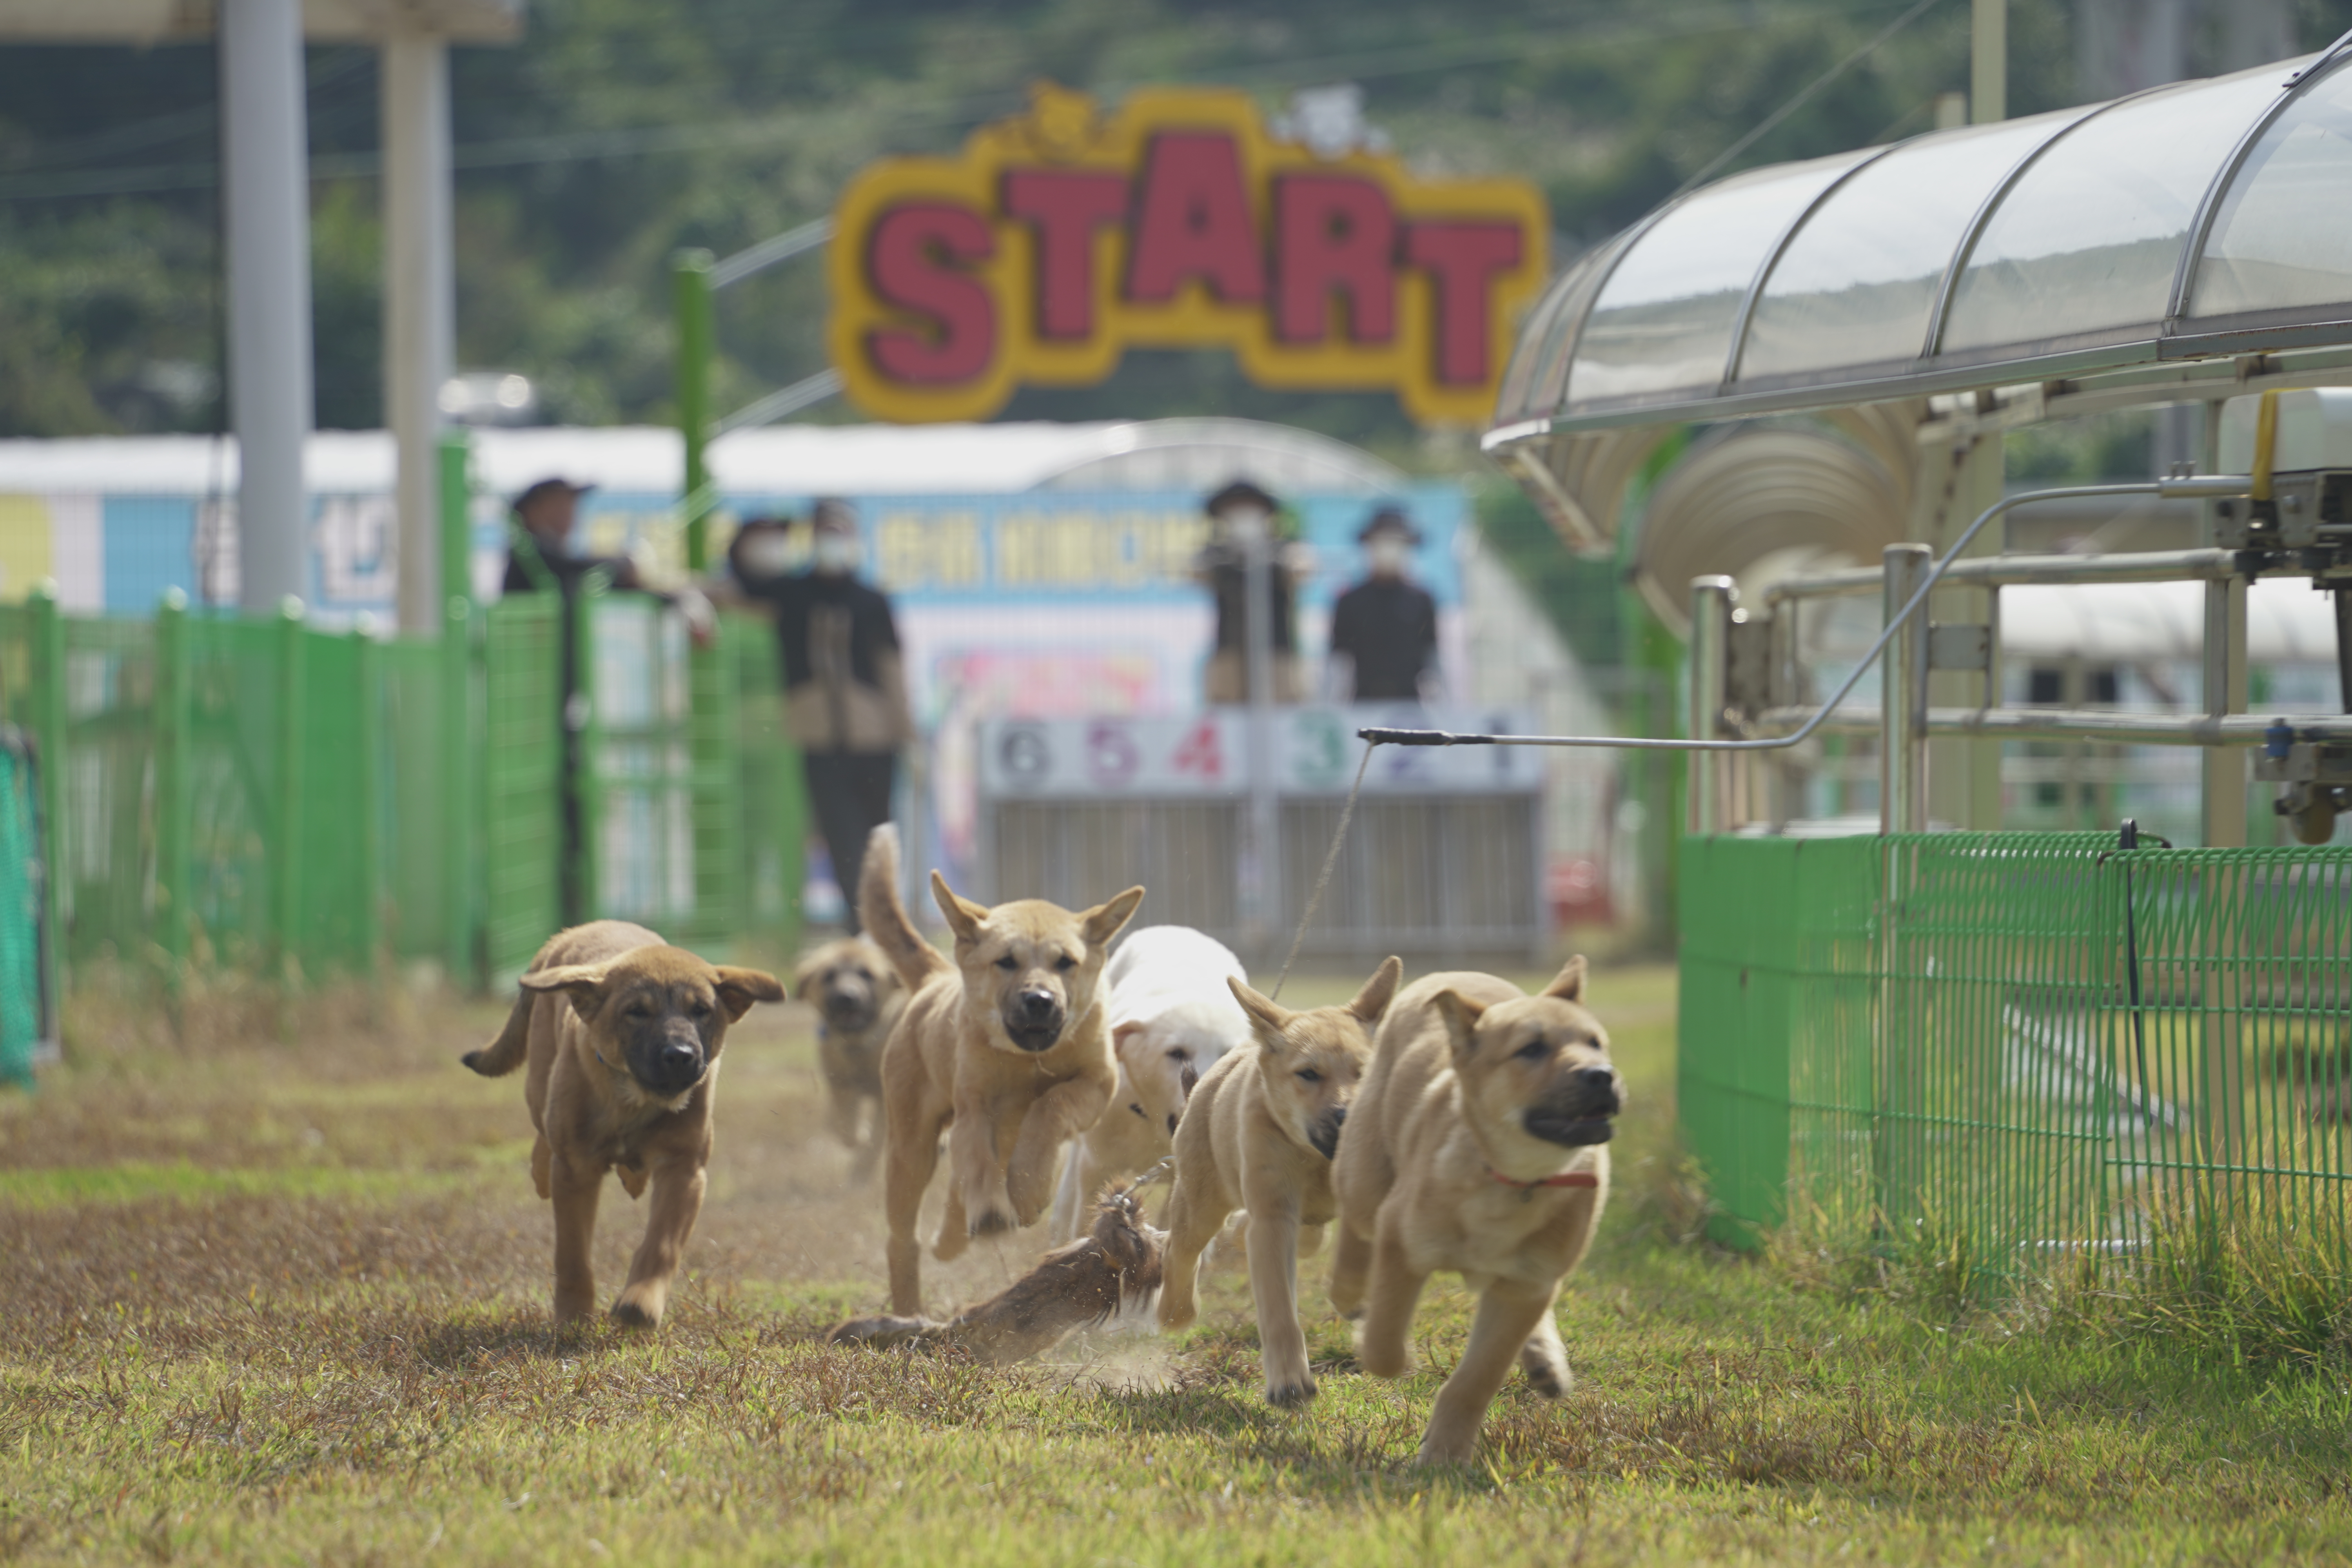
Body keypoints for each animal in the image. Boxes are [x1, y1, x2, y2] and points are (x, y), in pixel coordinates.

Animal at [463, 926, 786, 1335]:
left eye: (701, 1011)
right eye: (636, 1012)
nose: (680, 1055)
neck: (634, 1100)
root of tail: (570, 933)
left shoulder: (685, 1171)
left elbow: (662, 1245)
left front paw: (640, 1303)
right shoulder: (576, 1172)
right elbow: (572, 1255)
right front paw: (573, 1319)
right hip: (539, 1081)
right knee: (542, 1130)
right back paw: (541, 1170)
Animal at [790, 931, 898, 1175]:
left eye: (866, 974)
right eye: (829, 976)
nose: (848, 997)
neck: (858, 1046)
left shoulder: (886, 1098)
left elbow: (875, 1144)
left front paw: (862, 1169)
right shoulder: (841, 1085)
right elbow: (847, 1128)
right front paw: (858, 1134)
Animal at [861, 827, 1143, 1316]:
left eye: (1065, 961)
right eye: (1006, 961)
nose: (1040, 1001)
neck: (1026, 1062)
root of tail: (936, 978)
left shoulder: (1097, 1084)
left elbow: (1052, 1105)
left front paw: (1028, 1191)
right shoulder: (975, 1108)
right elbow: (978, 1162)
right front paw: (998, 1210)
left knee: (959, 1193)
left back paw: (955, 1236)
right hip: (910, 1148)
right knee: (906, 1236)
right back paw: (912, 1302)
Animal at [1152, 964, 1392, 1401]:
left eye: (1363, 1072)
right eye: (1308, 1074)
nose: (1349, 1118)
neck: (1318, 1161)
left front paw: (1352, 1298)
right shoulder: (1274, 1218)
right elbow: (1279, 1304)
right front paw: (1289, 1381)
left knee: (1287, 1234)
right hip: (1201, 1201)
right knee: (1181, 1249)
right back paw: (1176, 1311)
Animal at [1336, 959, 1628, 1476]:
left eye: (1595, 1043)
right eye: (1531, 1049)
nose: (1602, 1076)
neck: (1514, 1180)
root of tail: (1457, 971)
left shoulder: (1527, 1285)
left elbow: (1476, 1379)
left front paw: (1445, 1452)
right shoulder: (1400, 1243)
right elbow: (1386, 1343)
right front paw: (1380, 1347)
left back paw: (1545, 1359)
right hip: (1366, 1177)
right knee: (1353, 1221)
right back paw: (1348, 1290)